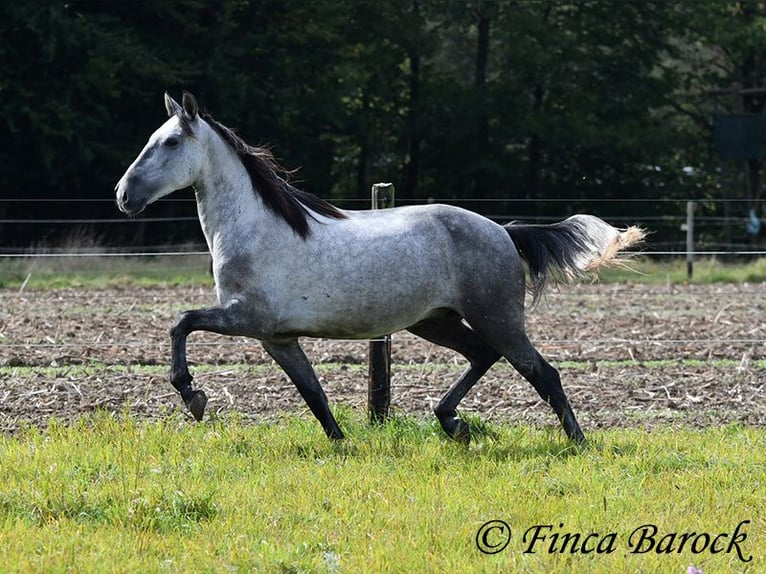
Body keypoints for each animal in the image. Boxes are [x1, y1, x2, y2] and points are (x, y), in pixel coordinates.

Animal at [114, 93, 644, 446]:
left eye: (171, 142)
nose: (124, 196)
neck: (255, 228)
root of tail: (502, 231)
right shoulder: (277, 338)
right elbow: (313, 393)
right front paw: (340, 443)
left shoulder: (247, 318)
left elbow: (181, 322)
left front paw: (193, 396)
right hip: (435, 321)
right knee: (482, 355)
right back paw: (452, 422)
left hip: (498, 317)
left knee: (542, 372)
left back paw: (578, 443)